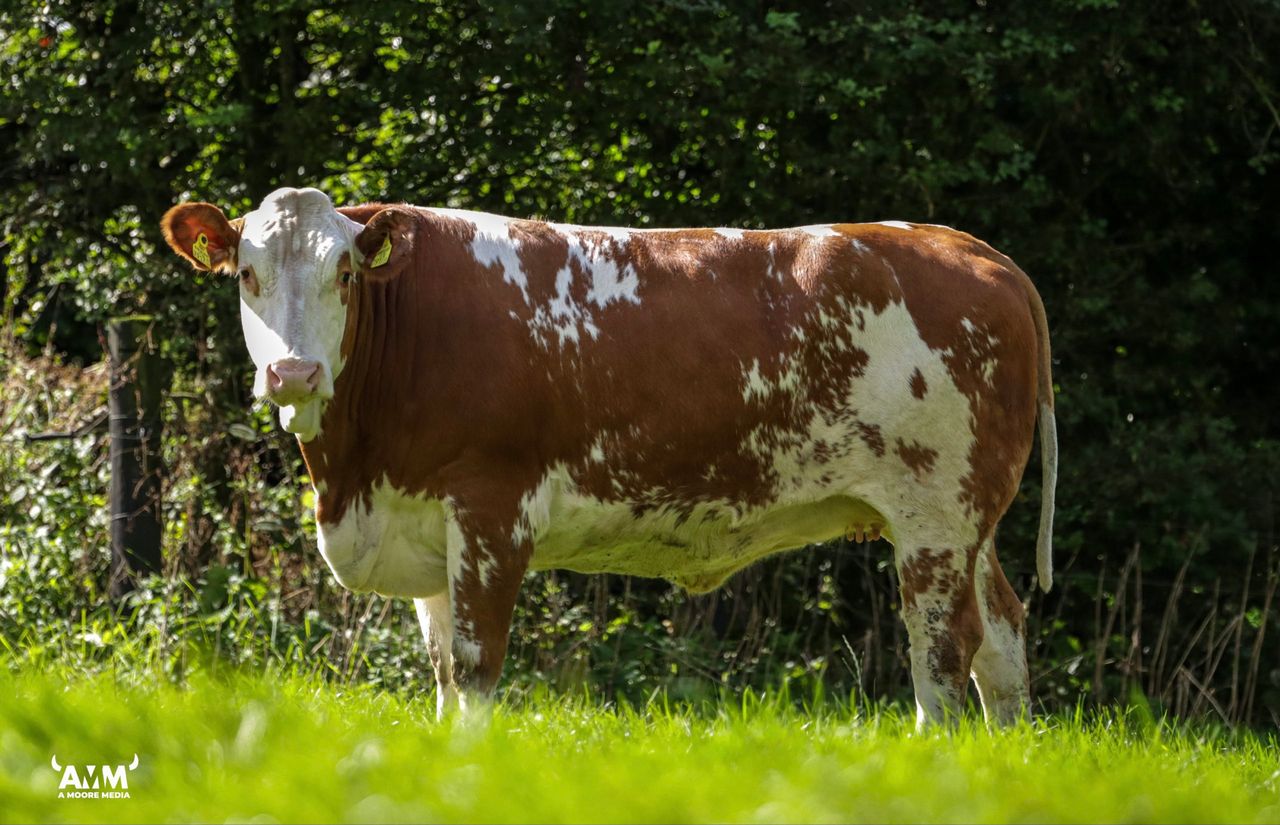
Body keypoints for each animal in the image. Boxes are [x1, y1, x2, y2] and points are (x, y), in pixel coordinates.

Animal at [161, 187, 1057, 727]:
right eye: (245, 274)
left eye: (344, 272)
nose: (293, 372)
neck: (357, 473)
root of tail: (978, 251)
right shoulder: (422, 523)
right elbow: (444, 671)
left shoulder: (493, 508)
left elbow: (476, 668)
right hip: (968, 522)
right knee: (1003, 635)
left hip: (935, 515)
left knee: (944, 647)